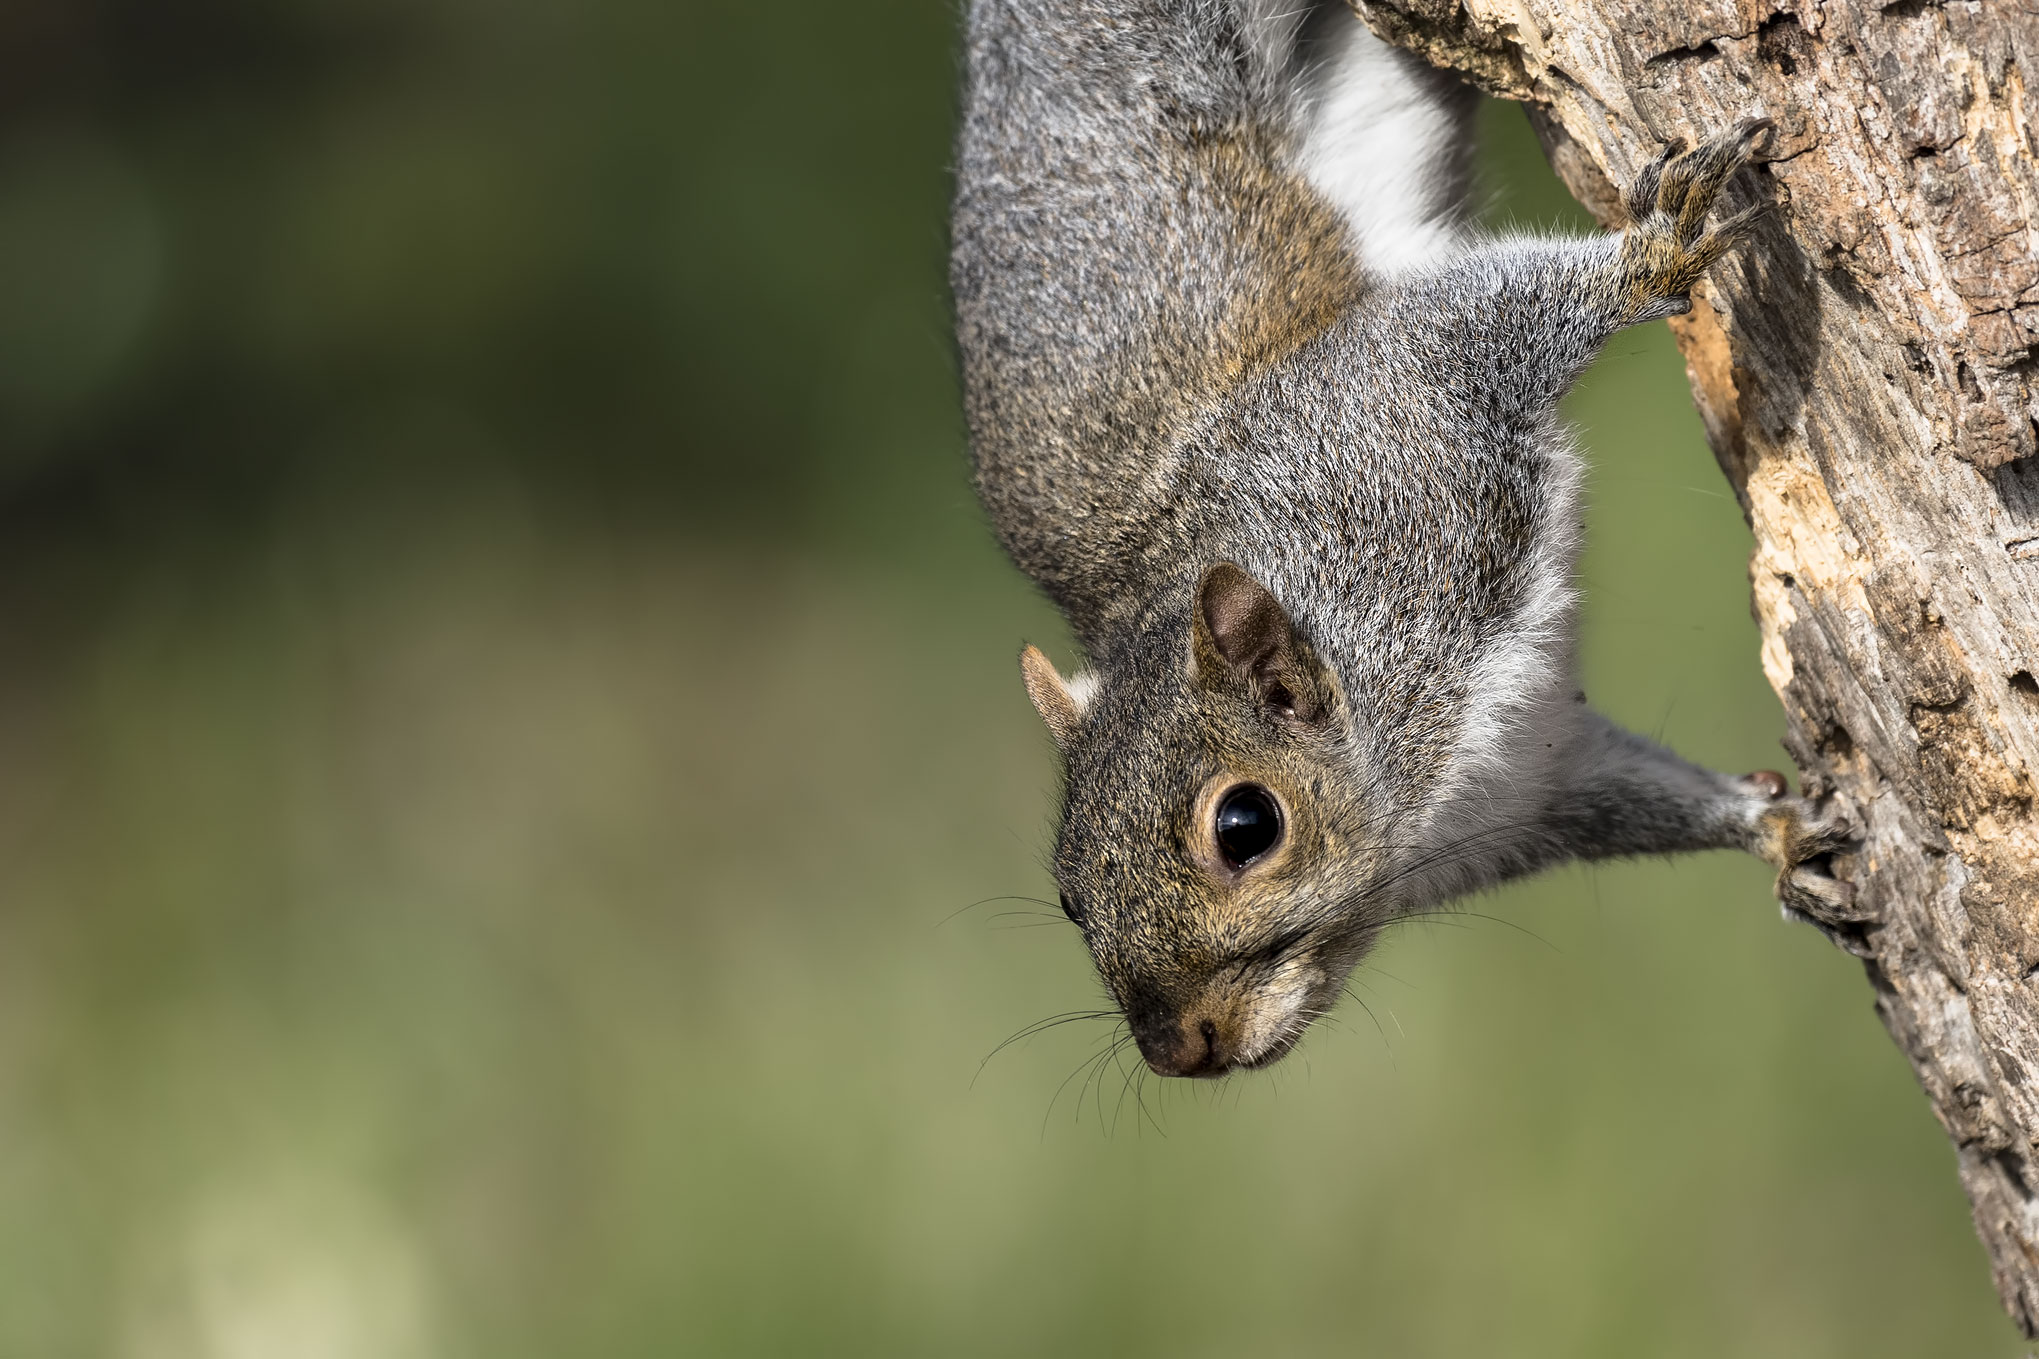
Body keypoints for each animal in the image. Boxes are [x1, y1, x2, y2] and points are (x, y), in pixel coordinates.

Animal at [949, 0, 1853, 1079]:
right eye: (1067, 893)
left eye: (1245, 826)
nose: (1179, 1049)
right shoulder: (1539, 784)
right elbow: (1637, 797)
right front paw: (1780, 829)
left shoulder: (1396, 398)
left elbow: (1497, 312)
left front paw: (1656, 249)